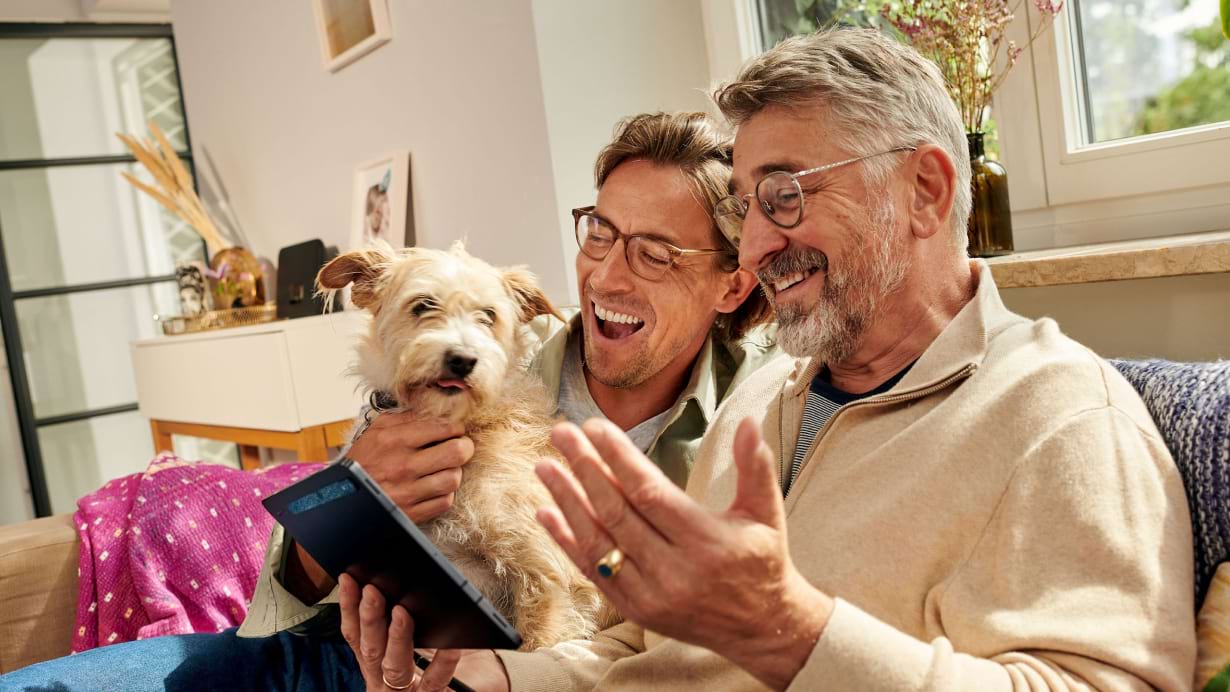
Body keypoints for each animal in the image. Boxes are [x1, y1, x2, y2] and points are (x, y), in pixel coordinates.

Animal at [317, 242, 615, 648]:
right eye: (423, 305)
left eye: (489, 316)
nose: (462, 359)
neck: (464, 424)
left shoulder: (547, 574)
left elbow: (538, 643)